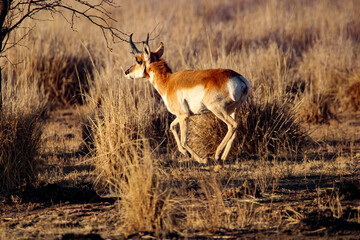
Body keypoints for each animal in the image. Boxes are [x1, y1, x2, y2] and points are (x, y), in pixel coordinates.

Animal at [125, 33, 249, 165]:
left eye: (138, 60)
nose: (126, 72)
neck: (168, 82)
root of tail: (240, 79)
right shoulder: (184, 115)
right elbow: (171, 126)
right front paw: (186, 153)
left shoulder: (183, 115)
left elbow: (184, 141)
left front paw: (203, 159)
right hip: (232, 110)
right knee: (235, 130)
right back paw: (223, 158)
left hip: (217, 109)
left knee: (232, 125)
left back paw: (216, 156)